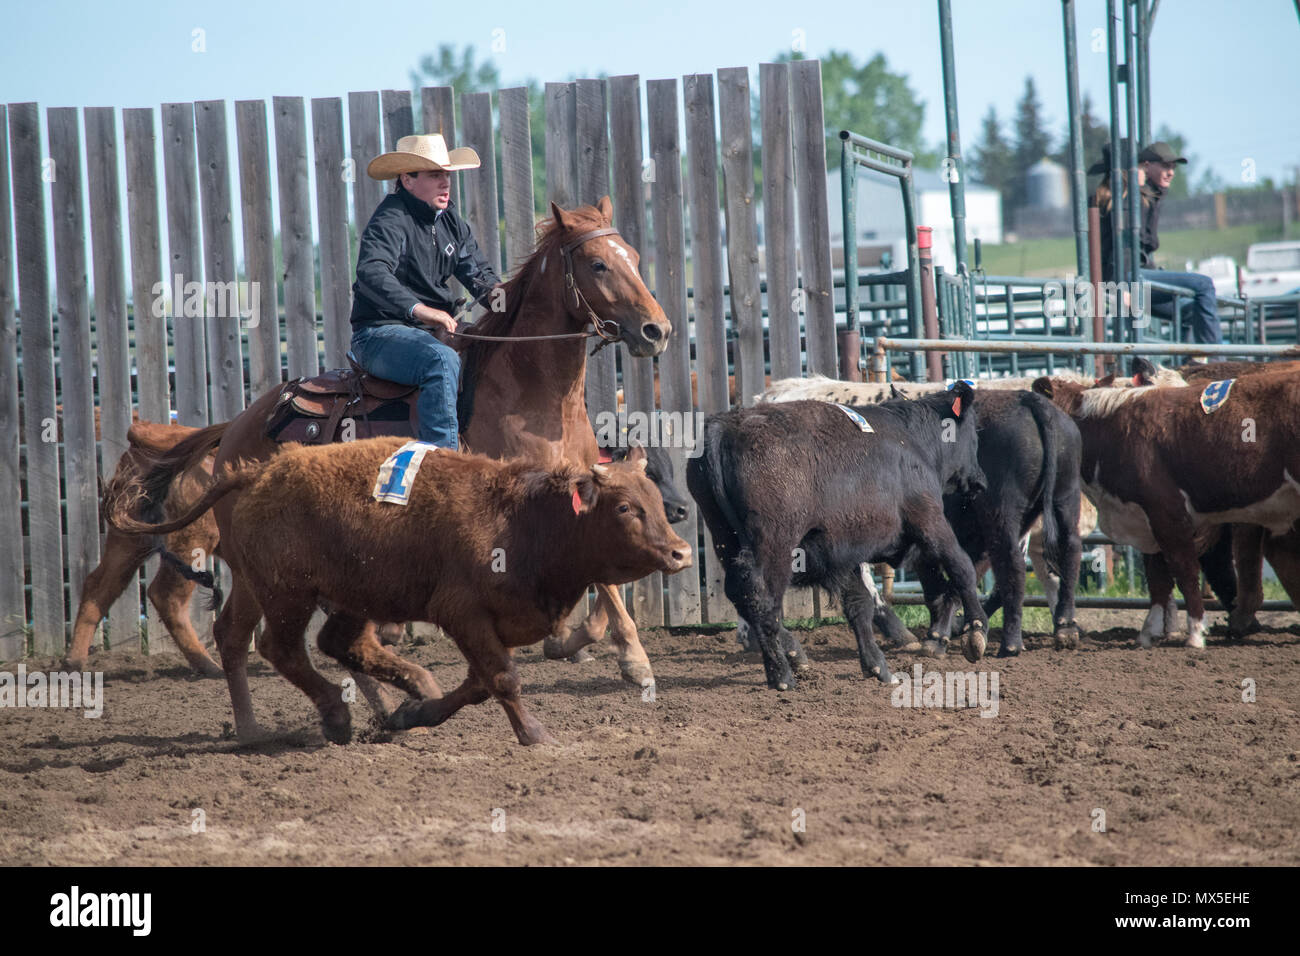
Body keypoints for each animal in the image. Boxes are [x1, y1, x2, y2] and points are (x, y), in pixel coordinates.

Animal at [109, 197, 670, 743]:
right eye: (597, 264)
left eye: (635, 257)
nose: (656, 330)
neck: (534, 398)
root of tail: (237, 428)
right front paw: (611, 656)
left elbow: (606, 582)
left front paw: (624, 658)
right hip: (268, 567)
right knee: (247, 636)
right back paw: (270, 725)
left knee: (256, 635)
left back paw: (355, 711)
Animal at [691, 385, 982, 691]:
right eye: (974, 434)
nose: (979, 480)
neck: (911, 441)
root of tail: (725, 426)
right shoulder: (929, 520)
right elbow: (961, 566)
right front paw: (976, 631)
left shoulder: (844, 553)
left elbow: (859, 604)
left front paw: (876, 665)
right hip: (774, 545)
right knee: (761, 599)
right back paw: (781, 674)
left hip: (725, 539)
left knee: (742, 595)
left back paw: (794, 653)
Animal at [1034, 369, 1300, 647]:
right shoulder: (1147, 518)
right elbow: (1158, 579)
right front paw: (1148, 633)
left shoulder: (1167, 514)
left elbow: (1184, 572)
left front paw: (1195, 633)